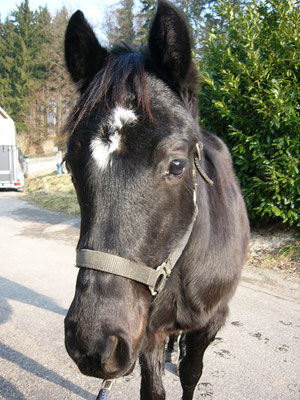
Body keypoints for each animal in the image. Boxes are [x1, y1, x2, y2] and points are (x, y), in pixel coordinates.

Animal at [63, 1, 251, 398]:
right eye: (70, 164)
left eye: (177, 165)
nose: (93, 344)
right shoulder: (147, 329)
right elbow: (153, 387)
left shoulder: (213, 321)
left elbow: (192, 373)